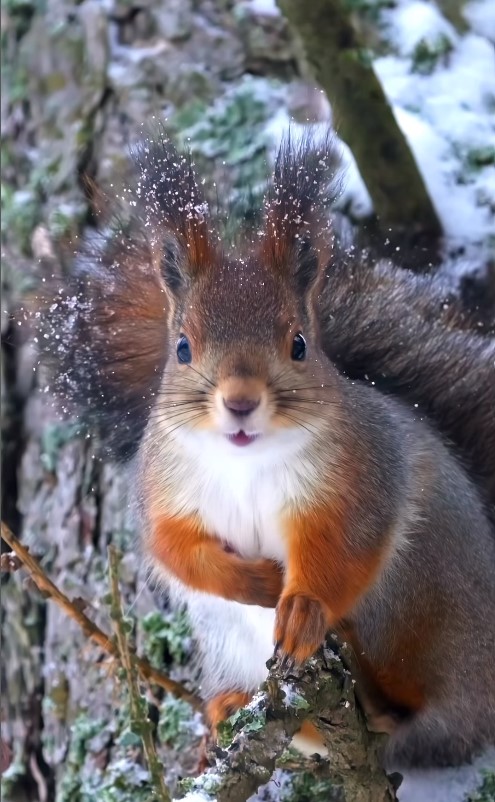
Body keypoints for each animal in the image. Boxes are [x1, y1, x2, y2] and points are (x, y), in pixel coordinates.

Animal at [43, 131, 495, 768]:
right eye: (182, 348)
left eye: (299, 344)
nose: (239, 401)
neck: (244, 465)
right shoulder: (163, 491)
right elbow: (175, 549)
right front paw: (256, 582)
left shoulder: (360, 478)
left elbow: (342, 550)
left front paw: (301, 609)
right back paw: (233, 705)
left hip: (425, 612)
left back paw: (376, 699)